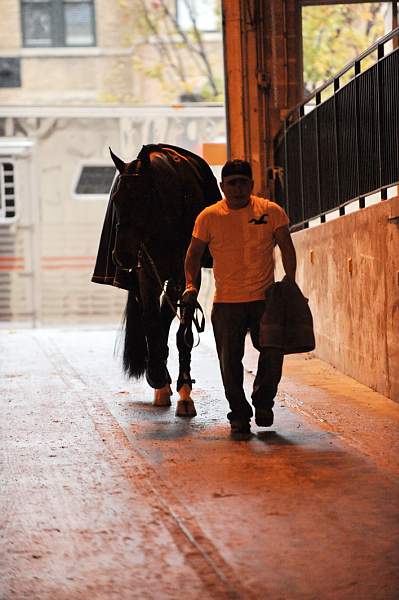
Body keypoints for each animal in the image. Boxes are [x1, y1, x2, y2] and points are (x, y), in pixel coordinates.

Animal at [92, 145, 222, 418]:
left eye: (142, 197)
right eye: (116, 199)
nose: (122, 256)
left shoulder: (185, 275)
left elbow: (182, 330)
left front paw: (184, 391)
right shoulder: (147, 274)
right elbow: (152, 321)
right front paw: (157, 377)